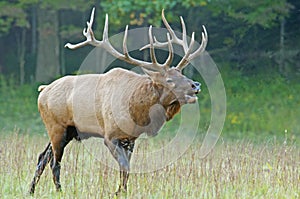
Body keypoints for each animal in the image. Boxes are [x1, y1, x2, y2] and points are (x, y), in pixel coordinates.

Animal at [29, 8, 207, 196]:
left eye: (182, 74)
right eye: (169, 80)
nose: (196, 85)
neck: (137, 112)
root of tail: (43, 90)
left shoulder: (130, 139)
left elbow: (126, 169)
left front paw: (123, 190)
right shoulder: (110, 136)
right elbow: (125, 167)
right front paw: (117, 192)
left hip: (68, 131)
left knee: (43, 156)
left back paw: (31, 190)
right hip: (56, 126)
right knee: (54, 162)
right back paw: (59, 191)